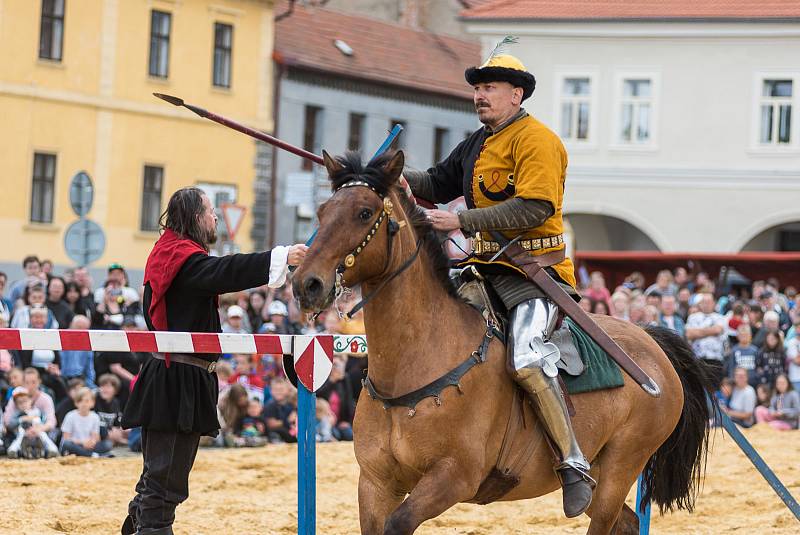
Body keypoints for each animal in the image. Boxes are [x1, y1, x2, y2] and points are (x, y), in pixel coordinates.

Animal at [296, 151, 712, 535]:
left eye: (365, 213)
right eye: (322, 212)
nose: (306, 284)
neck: (416, 362)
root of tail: (652, 343)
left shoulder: (451, 478)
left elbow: (399, 523)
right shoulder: (376, 484)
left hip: (620, 469)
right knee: (626, 521)